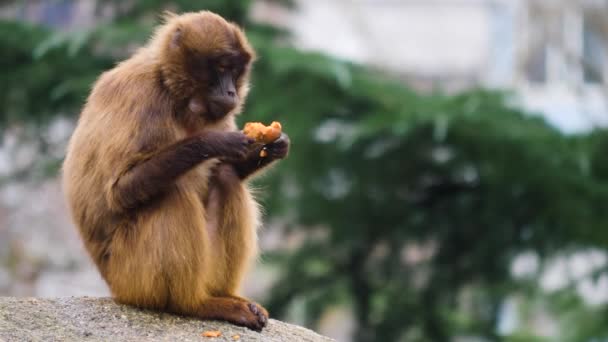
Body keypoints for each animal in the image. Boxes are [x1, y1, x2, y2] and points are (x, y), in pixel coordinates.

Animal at [61, 11, 290, 332]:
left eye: (234, 71)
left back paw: (223, 297)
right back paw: (192, 305)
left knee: (225, 178)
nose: (231, 91)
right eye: (221, 68)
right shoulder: (140, 94)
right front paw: (213, 142)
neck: (174, 92)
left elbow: (226, 169)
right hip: (130, 276)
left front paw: (275, 144)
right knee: (173, 192)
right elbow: (119, 191)